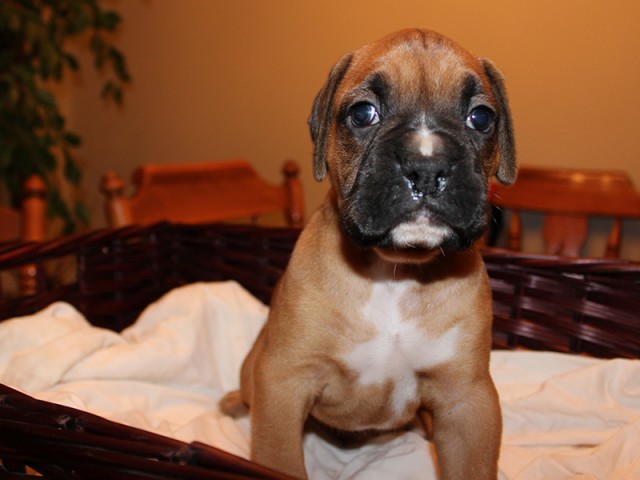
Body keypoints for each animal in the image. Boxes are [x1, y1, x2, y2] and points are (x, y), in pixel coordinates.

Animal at [225, 28, 516, 478]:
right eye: (363, 114)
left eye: (481, 118)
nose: (426, 166)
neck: (395, 271)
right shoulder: (283, 381)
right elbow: (281, 459)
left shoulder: (468, 401)